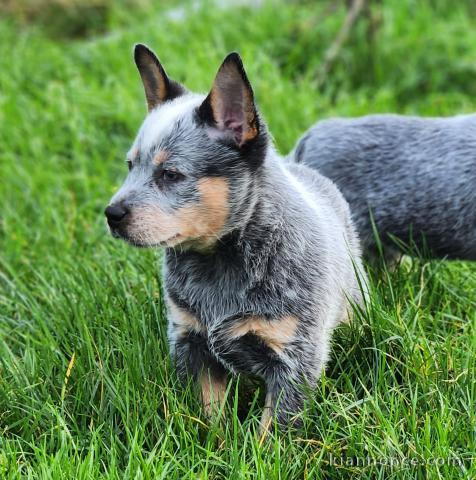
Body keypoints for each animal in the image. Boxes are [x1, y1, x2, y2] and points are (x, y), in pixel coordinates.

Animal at [105, 44, 364, 428]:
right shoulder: (192, 343)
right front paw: (215, 441)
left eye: (171, 174)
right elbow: (211, 417)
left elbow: (273, 430)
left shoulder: (294, 359)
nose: (112, 214)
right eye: (130, 166)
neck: (219, 264)